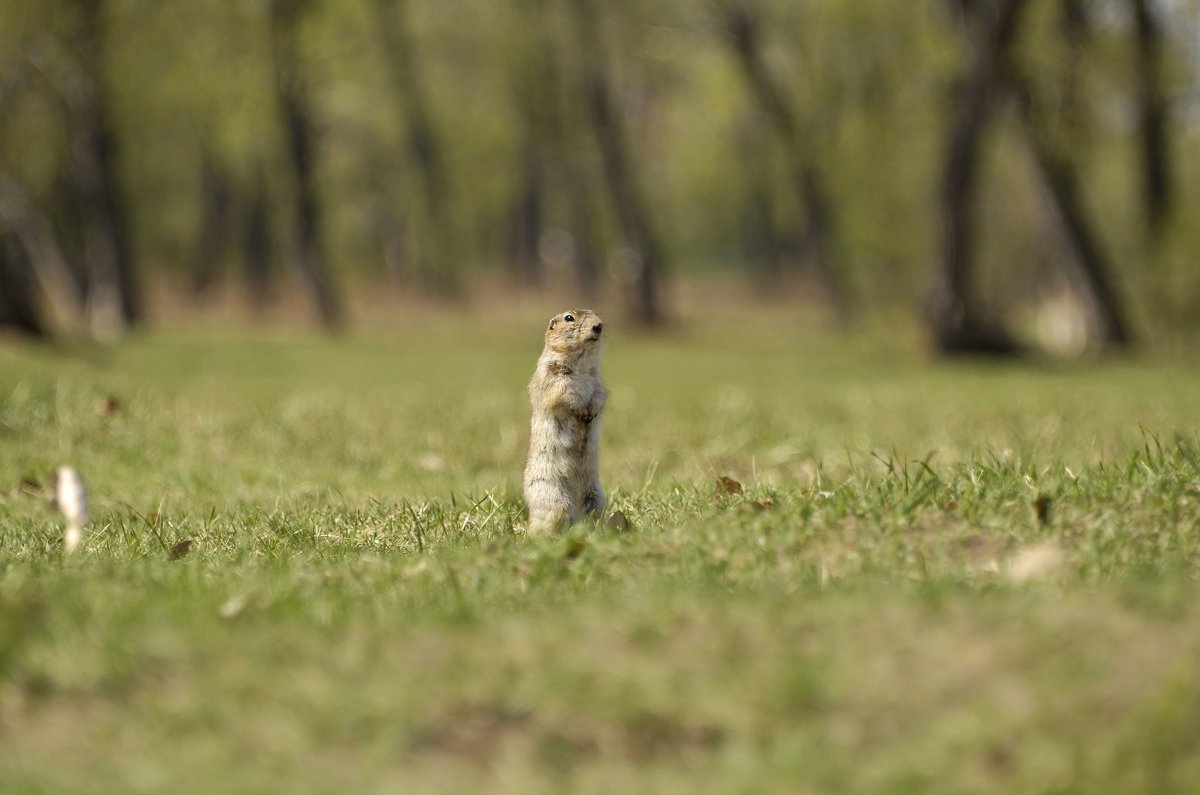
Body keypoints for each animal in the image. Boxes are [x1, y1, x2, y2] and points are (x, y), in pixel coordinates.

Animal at [523, 307, 609, 538]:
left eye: (596, 313)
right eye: (569, 318)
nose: (598, 325)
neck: (582, 363)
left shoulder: (598, 382)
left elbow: (600, 395)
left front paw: (592, 411)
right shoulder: (553, 377)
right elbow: (562, 395)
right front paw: (581, 411)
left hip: (596, 498)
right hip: (554, 500)